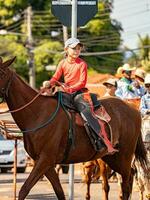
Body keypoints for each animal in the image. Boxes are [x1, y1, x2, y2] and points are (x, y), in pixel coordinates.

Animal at [0, 57, 148, 199]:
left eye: (1, 73)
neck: (38, 114)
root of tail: (133, 109)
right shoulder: (45, 163)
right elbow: (59, 192)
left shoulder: (45, 160)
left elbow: (24, 190)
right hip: (111, 156)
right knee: (129, 177)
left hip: (125, 154)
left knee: (127, 182)